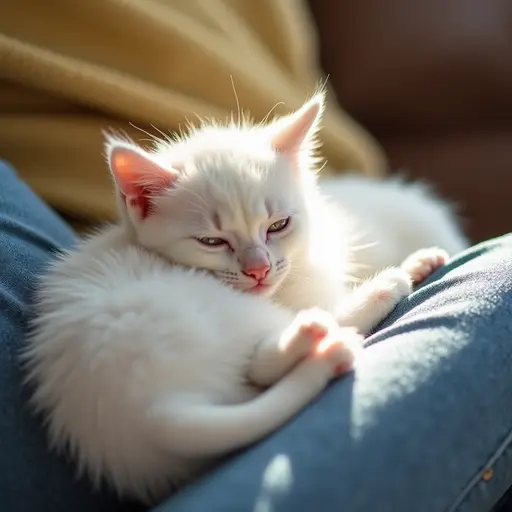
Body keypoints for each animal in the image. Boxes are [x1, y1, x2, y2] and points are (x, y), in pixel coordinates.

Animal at [23, 92, 464, 504]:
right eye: (212, 241)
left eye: (279, 225)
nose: (259, 270)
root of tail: (145, 407)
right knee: (267, 360)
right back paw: (377, 292)